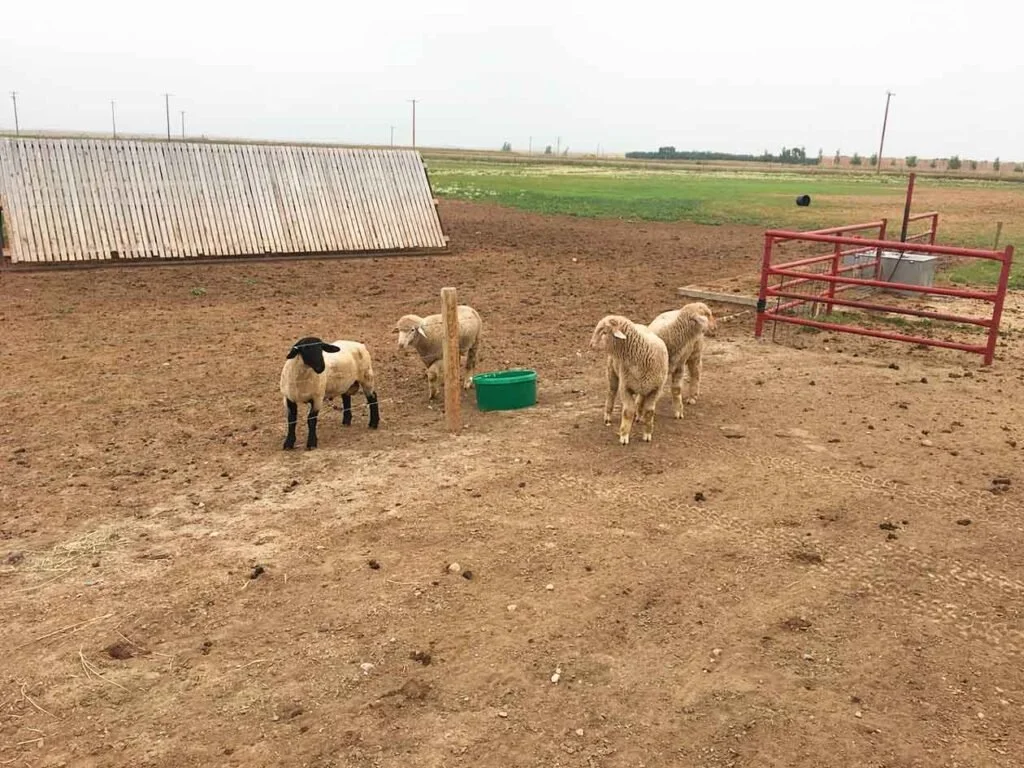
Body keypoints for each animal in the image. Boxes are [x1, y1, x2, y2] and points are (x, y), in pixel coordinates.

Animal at [589, 314, 669, 445]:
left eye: (604, 332)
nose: (590, 345)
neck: (642, 354)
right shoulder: (625, 387)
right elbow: (628, 412)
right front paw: (624, 436)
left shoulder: (656, 390)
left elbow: (649, 412)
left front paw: (647, 434)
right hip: (612, 371)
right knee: (611, 392)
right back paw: (608, 416)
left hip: (644, 386)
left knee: (640, 399)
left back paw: (639, 416)